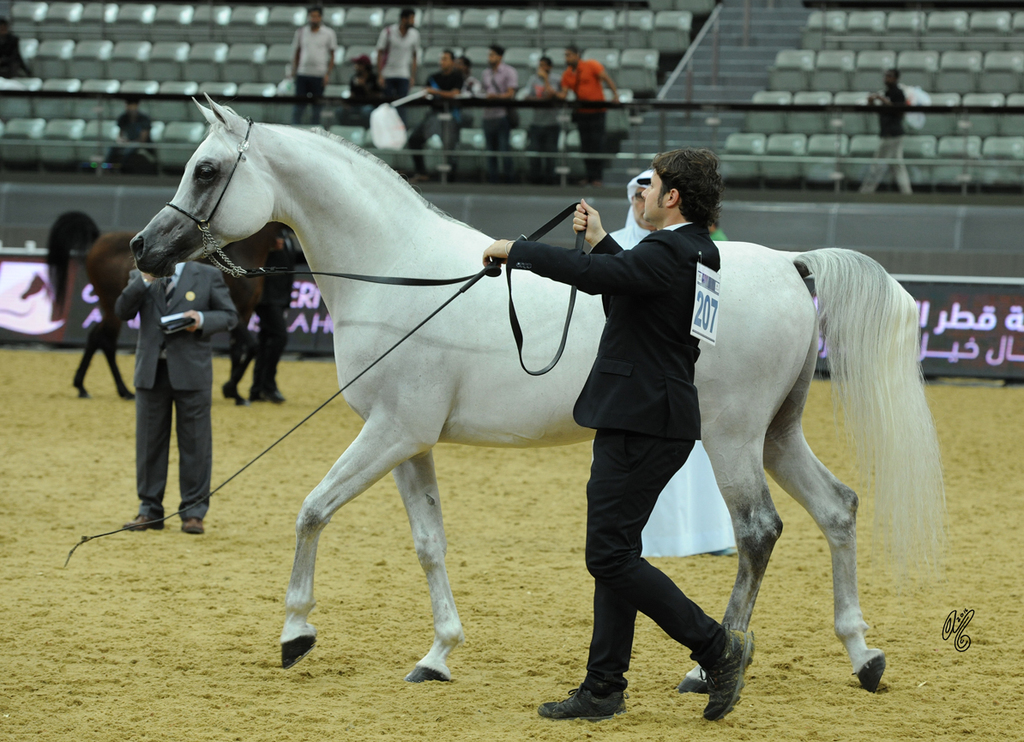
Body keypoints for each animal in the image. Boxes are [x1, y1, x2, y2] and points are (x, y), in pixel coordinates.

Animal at [47, 212, 289, 403]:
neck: (241, 254)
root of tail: (99, 240)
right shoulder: (236, 312)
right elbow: (253, 346)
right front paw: (231, 389)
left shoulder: (244, 312)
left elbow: (239, 349)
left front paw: (233, 392)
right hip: (112, 304)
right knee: (105, 341)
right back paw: (123, 391)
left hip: (108, 307)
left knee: (96, 337)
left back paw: (84, 387)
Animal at [128, 99, 945, 694]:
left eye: (206, 170)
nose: (143, 248)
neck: (400, 271)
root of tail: (790, 264)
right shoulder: (410, 442)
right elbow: (428, 542)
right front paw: (438, 655)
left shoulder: (390, 432)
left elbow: (312, 509)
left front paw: (296, 633)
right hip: (778, 433)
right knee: (838, 509)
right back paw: (862, 654)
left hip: (733, 437)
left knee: (758, 532)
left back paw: (708, 665)